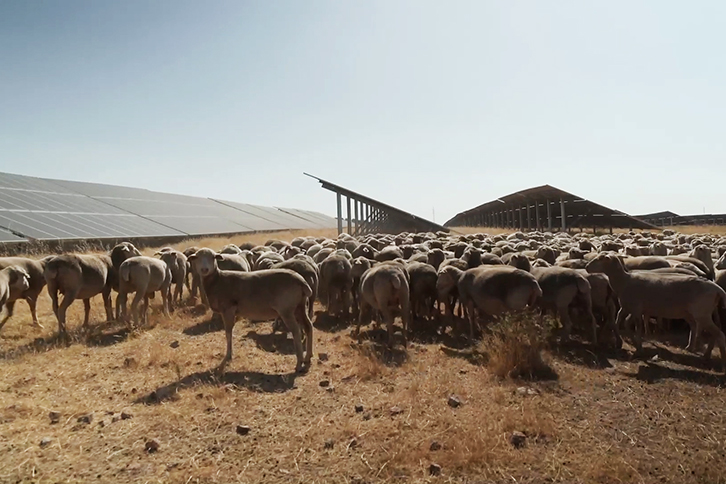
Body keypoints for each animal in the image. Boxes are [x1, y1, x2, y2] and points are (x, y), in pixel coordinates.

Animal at [186, 248, 314, 372]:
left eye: (213, 257)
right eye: (197, 257)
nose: (204, 269)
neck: (218, 280)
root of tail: (301, 281)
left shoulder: (228, 309)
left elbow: (228, 333)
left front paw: (228, 356)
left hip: (286, 310)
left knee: (296, 331)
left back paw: (299, 363)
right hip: (300, 307)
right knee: (308, 326)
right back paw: (308, 358)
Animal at [584, 253, 726, 366]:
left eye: (600, 259)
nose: (586, 267)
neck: (624, 281)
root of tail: (717, 289)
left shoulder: (636, 309)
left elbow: (637, 327)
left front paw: (639, 348)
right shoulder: (629, 308)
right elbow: (623, 323)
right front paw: (631, 344)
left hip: (702, 313)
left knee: (719, 334)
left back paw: (719, 360)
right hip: (694, 313)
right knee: (700, 328)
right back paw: (695, 349)